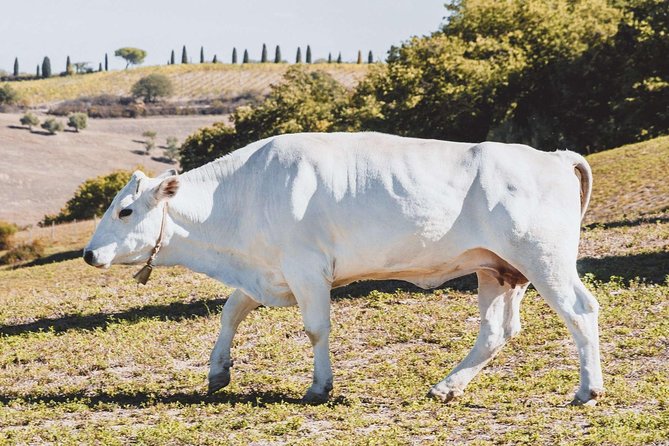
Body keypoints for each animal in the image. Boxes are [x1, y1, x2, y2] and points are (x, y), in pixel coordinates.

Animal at [83, 132, 604, 405]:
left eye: (125, 211)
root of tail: (553, 155)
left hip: (544, 258)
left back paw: (588, 389)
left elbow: (315, 329)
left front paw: (319, 386)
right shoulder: (268, 272)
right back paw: (446, 386)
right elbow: (230, 313)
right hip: (498, 270)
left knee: (581, 311)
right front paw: (217, 372)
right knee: (497, 331)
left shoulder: (306, 269)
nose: (89, 254)